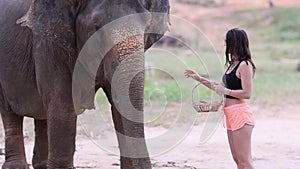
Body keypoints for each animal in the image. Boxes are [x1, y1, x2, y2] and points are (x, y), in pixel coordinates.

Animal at [0, 0, 170, 169]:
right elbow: (62, 105)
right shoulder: (51, 46)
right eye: (96, 27)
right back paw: (16, 166)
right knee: (9, 111)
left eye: (147, 25)